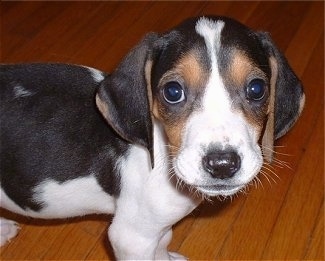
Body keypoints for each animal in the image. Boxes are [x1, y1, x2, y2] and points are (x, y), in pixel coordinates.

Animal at [0, 15, 304, 258]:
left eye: (257, 89)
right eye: (173, 91)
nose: (222, 164)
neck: (161, 147)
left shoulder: (155, 229)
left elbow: (164, 241)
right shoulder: (131, 237)